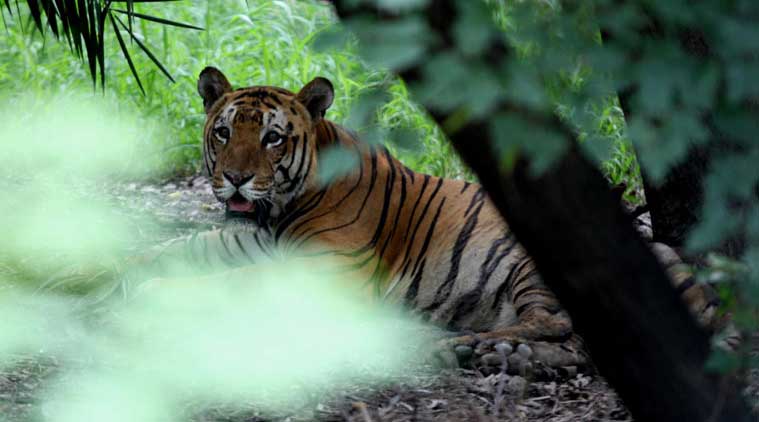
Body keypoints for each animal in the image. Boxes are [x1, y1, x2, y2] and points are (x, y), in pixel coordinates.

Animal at [141, 66, 737, 377]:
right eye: (224, 132)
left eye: (272, 138)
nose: (236, 179)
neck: (277, 210)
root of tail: (704, 290)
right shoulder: (248, 240)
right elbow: (174, 251)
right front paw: (125, 273)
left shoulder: (326, 267)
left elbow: (233, 282)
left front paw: (156, 295)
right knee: (577, 347)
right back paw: (503, 356)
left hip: (537, 263)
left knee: (558, 326)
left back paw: (458, 346)